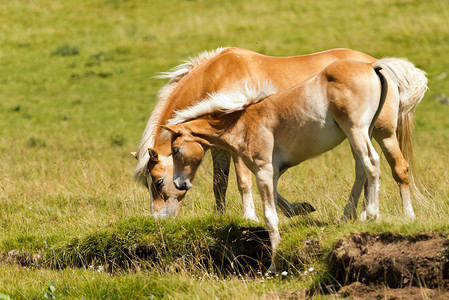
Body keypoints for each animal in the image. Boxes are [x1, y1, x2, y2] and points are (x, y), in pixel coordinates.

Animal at [131, 47, 426, 220]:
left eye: (158, 182)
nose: (159, 220)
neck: (215, 77)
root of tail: (377, 64)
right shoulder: (218, 148)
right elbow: (220, 184)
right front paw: (221, 215)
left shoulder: (239, 146)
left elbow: (243, 182)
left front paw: (250, 218)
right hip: (358, 134)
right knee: (363, 169)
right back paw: (358, 214)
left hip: (381, 133)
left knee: (396, 168)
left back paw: (404, 216)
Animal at [164, 58, 428, 272]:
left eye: (175, 150)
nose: (179, 183)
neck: (242, 121)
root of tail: (372, 66)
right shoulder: (273, 173)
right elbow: (280, 205)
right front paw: (301, 209)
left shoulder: (263, 172)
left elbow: (270, 218)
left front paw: (272, 266)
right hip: (367, 132)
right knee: (363, 169)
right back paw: (357, 215)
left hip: (359, 130)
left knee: (373, 164)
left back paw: (374, 214)